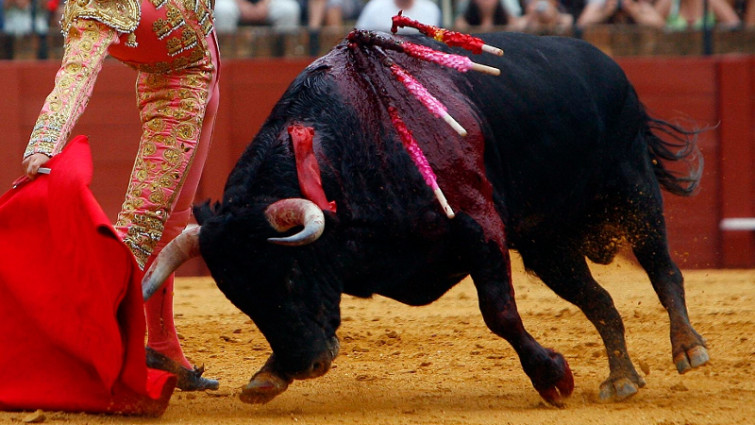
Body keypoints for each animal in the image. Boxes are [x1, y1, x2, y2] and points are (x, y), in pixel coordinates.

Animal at [142, 31, 708, 406]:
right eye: (240, 298)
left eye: (290, 275)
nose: (306, 364)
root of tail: (606, 63)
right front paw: (268, 375)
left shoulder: (480, 226)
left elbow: (499, 312)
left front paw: (552, 376)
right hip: (548, 244)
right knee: (601, 301)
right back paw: (622, 379)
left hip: (633, 188)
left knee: (663, 269)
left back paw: (689, 349)